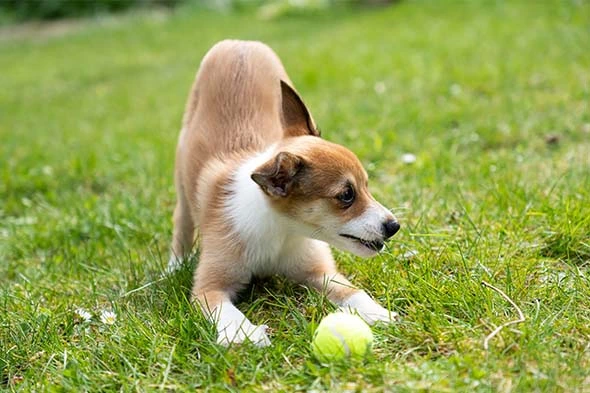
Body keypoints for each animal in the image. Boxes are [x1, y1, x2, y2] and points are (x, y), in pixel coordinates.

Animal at [170, 39, 402, 346]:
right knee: (181, 221)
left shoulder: (321, 271)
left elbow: (353, 292)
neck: (281, 230)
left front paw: (378, 313)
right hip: (182, 176)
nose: (394, 226)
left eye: (366, 185)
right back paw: (174, 264)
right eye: (346, 196)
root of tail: (240, 43)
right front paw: (242, 334)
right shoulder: (209, 288)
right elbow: (225, 310)